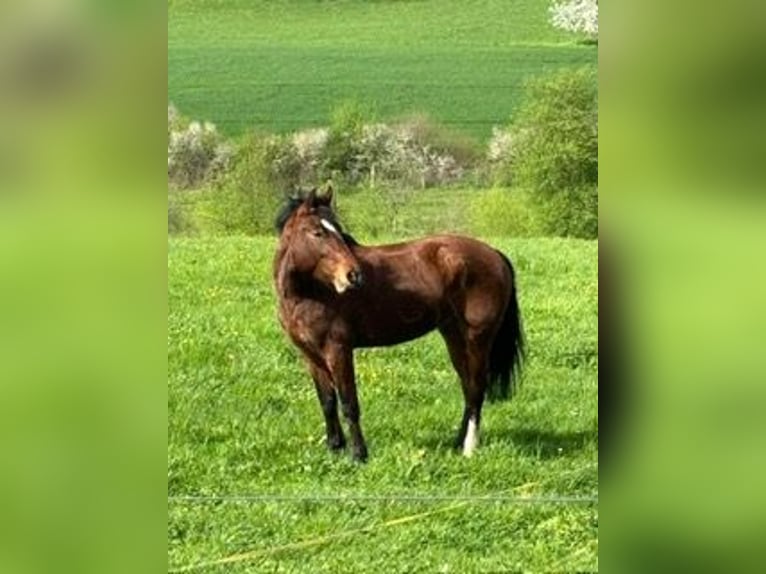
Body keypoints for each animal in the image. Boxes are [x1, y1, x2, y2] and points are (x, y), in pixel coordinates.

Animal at [272, 189, 524, 464]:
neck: (311, 293)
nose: (354, 275)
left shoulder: (338, 350)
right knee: (468, 388)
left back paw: (469, 448)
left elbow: (349, 403)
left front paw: (358, 455)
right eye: (317, 232)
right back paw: (457, 443)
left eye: (339, 230)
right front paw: (334, 448)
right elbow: (327, 402)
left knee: (477, 389)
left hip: (478, 339)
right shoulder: (310, 355)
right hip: (455, 337)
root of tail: (494, 254)